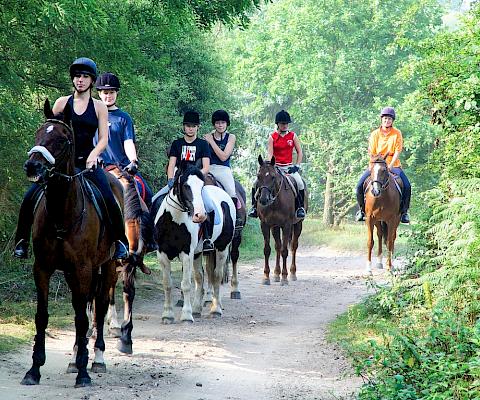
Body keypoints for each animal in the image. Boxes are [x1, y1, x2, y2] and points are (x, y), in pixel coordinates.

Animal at [21, 101, 124, 388]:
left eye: (61, 139)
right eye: (38, 133)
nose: (32, 166)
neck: (61, 213)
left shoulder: (84, 269)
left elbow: (82, 317)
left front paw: (84, 373)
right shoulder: (42, 268)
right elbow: (42, 315)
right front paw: (34, 369)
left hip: (107, 267)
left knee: (99, 307)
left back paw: (97, 358)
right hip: (70, 273)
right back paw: (77, 356)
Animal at [255, 155, 308, 284]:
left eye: (273, 177)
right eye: (258, 176)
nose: (263, 199)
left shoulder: (287, 225)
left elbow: (285, 251)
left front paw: (284, 277)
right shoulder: (265, 224)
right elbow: (267, 250)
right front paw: (266, 276)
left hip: (298, 224)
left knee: (293, 246)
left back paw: (292, 273)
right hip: (275, 227)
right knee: (277, 246)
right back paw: (276, 273)